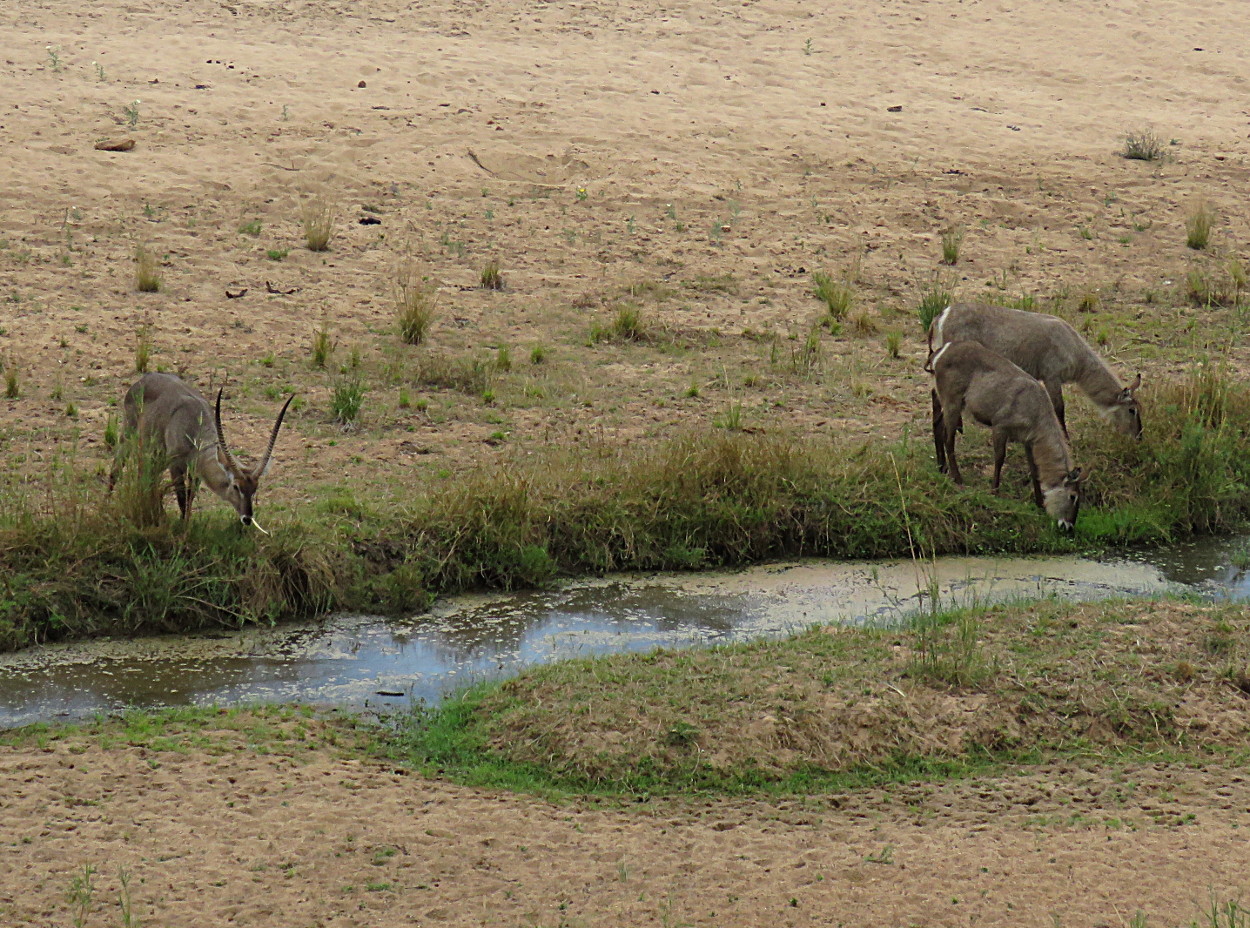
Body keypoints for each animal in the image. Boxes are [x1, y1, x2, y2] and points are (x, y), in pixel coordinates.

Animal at [110, 372, 295, 530]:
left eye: (255, 488)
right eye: (236, 486)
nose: (247, 518)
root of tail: (144, 378)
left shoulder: (195, 473)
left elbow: (190, 497)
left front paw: (185, 523)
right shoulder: (175, 466)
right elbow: (182, 498)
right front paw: (183, 528)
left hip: (156, 455)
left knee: (147, 478)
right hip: (129, 435)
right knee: (116, 470)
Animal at [930, 301, 1145, 440]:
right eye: (1132, 410)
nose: (1139, 436)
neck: (1076, 352)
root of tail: (941, 316)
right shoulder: (1051, 376)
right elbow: (1059, 408)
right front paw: (1066, 439)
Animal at [930, 342, 1085, 530]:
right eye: (1073, 496)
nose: (1069, 527)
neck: (1036, 413)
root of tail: (940, 353)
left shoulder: (1028, 440)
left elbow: (1034, 469)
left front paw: (1039, 503)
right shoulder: (1000, 426)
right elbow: (999, 458)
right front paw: (994, 491)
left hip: (947, 401)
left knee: (937, 422)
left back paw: (941, 467)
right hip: (953, 401)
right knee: (949, 438)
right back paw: (958, 478)